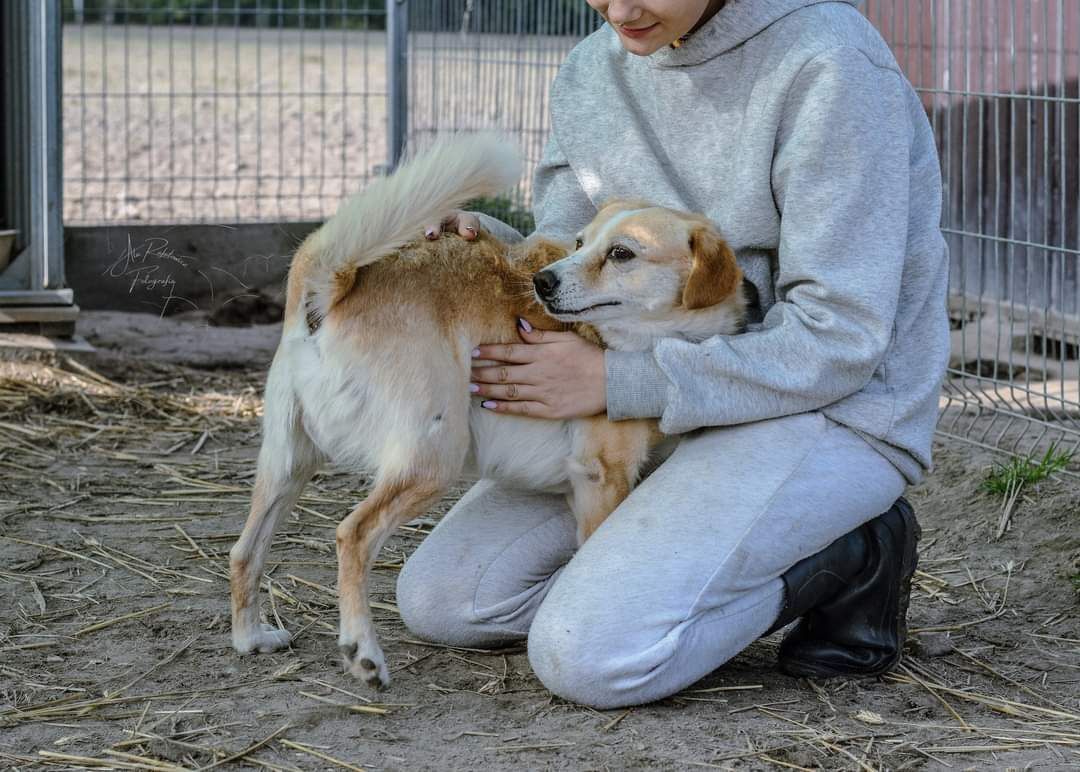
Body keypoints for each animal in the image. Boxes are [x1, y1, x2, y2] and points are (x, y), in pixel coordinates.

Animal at [228, 132, 747, 686]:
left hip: (288, 463)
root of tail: (333, 283)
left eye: (621, 253)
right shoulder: (601, 477)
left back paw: (250, 637)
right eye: (581, 243)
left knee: (245, 551)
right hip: (434, 458)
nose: (542, 283)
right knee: (352, 535)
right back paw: (363, 653)